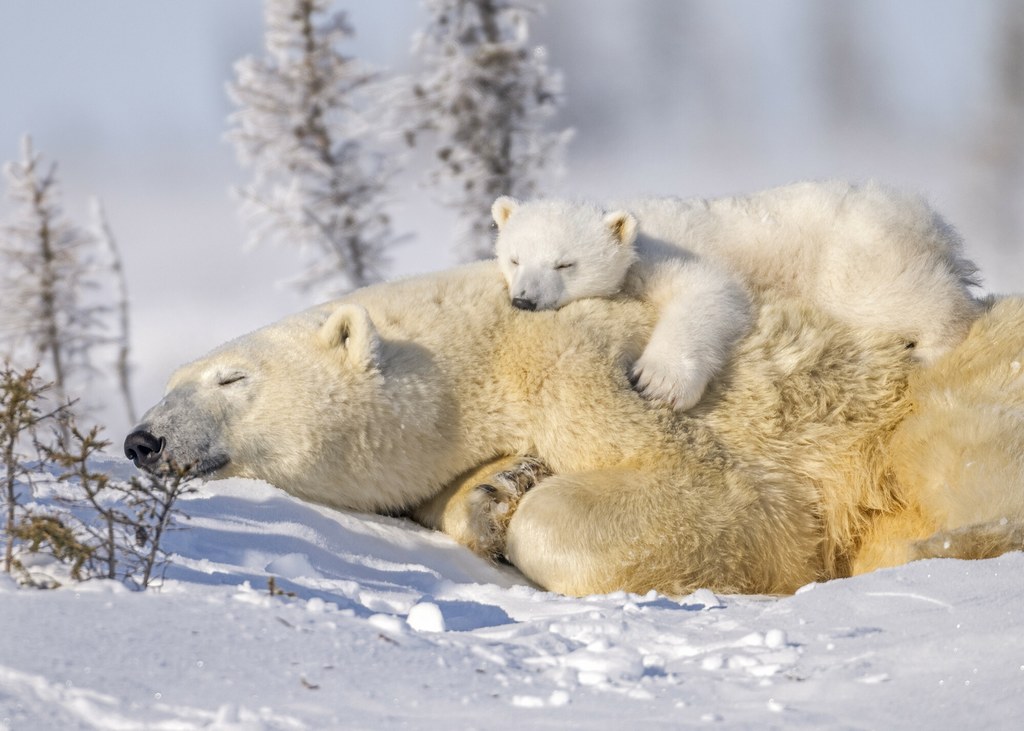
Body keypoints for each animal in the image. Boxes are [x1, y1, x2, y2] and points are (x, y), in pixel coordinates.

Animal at [123, 260, 1024, 593]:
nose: (141, 440)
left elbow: (731, 498)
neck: (486, 349)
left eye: (231, 377)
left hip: (951, 392)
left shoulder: (591, 367)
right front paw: (500, 487)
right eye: (165, 383)